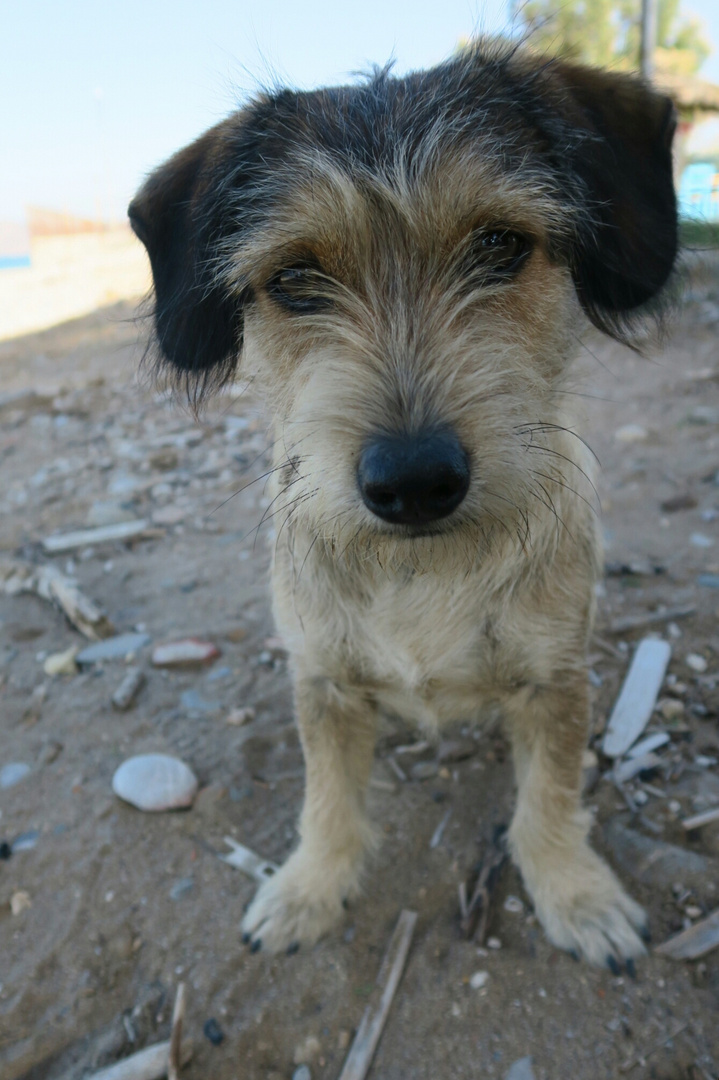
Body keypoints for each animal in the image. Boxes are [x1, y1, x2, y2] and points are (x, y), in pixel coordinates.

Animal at [130, 42, 677, 972]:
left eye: (500, 243)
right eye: (294, 278)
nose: (413, 481)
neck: (421, 567)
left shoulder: (556, 679)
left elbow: (548, 795)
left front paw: (575, 893)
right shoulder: (321, 681)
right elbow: (327, 797)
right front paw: (308, 886)